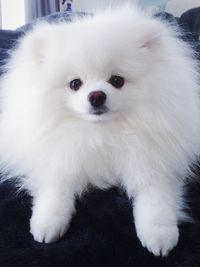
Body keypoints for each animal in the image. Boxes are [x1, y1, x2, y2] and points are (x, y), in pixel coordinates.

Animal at [0, 5, 200, 258]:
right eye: (75, 84)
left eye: (117, 80)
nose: (96, 95)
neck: (101, 133)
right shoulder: (59, 156)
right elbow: (55, 189)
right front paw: (46, 224)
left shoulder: (154, 162)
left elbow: (156, 202)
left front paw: (159, 236)